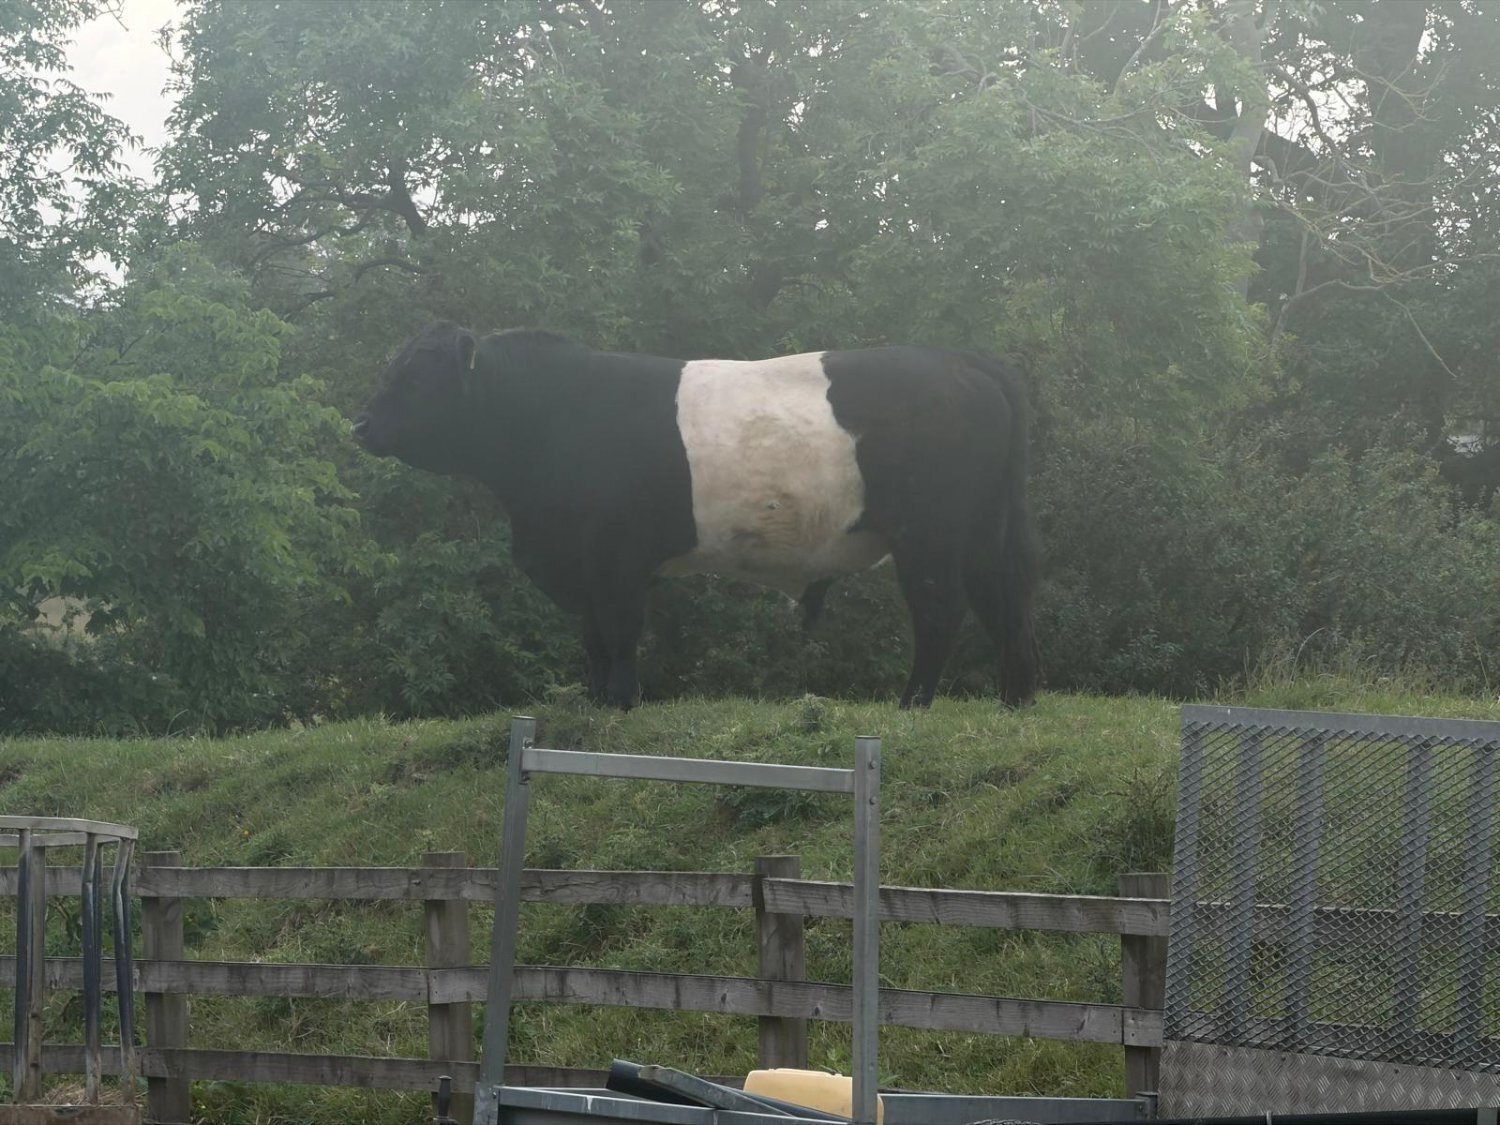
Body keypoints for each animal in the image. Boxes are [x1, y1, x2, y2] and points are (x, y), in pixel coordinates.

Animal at [353, 322, 1039, 711]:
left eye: (417, 375)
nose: (360, 425)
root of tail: (961, 361)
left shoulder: (613, 557)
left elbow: (618, 631)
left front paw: (621, 702)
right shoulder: (583, 562)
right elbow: (593, 637)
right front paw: (596, 703)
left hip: (930, 532)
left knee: (941, 611)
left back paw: (913, 704)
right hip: (981, 529)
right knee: (1001, 602)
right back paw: (1015, 702)